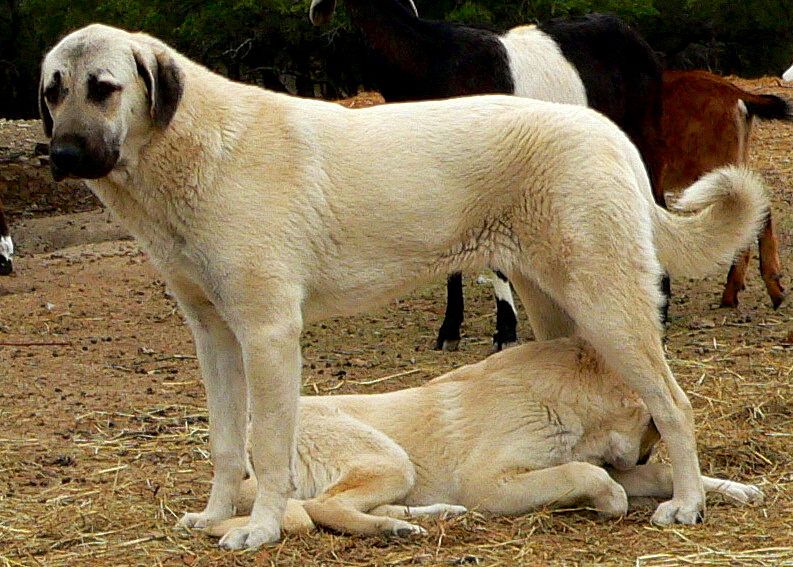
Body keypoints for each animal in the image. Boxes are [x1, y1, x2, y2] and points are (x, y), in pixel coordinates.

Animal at [207, 338, 764, 540]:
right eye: (651, 428)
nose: (643, 451)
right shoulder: (490, 482)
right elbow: (590, 473)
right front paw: (609, 502)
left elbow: (665, 474)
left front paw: (733, 490)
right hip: (388, 458)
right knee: (326, 507)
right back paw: (393, 529)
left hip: (395, 473)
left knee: (344, 505)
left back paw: (426, 518)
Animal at [310, 0, 664, 350]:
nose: (316, 13)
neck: (430, 56)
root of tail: (633, 35)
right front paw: (449, 330)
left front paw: (505, 330)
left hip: (643, 129)